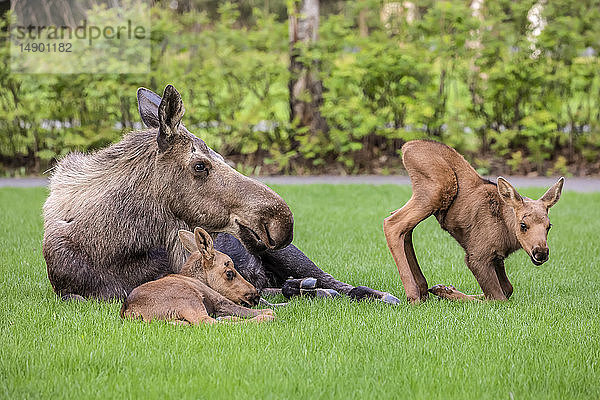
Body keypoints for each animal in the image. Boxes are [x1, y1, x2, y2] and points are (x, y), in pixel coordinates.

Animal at [44, 85, 396, 304]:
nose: (281, 220)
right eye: (200, 165)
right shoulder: (70, 293)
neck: (112, 248)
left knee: (334, 282)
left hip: (289, 254)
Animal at [384, 141, 564, 304]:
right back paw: (413, 295)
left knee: (404, 226)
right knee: (392, 222)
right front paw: (446, 292)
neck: (508, 235)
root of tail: (406, 147)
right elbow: (498, 298)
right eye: (523, 225)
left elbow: (507, 289)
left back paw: (422, 289)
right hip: (438, 189)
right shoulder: (477, 256)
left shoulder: (497, 257)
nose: (541, 252)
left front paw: (445, 289)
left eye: (549, 226)